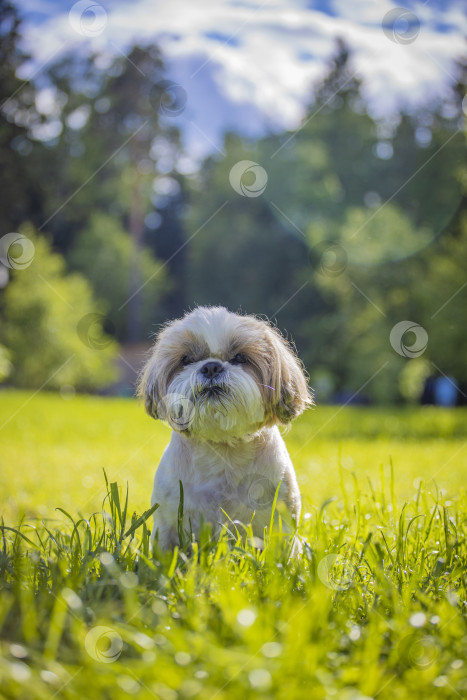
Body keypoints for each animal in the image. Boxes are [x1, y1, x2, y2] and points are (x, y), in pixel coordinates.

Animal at [139, 306, 314, 552]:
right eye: (186, 359)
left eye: (239, 358)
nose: (211, 366)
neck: (222, 445)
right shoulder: (167, 519)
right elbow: (164, 550)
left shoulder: (281, 518)